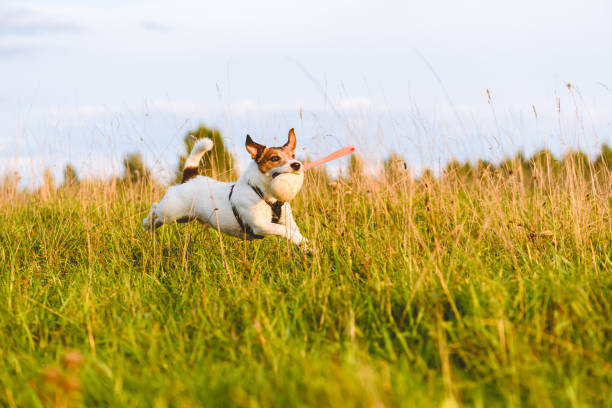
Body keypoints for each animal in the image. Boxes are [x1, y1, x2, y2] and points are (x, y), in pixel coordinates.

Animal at [141, 127, 308, 249]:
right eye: (275, 158)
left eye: (293, 155)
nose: (296, 164)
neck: (263, 193)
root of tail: (191, 177)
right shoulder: (259, 225)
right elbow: (283, 230)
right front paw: (298, 239)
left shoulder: (288, 222)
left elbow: (294, 231)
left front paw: (305, 246)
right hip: (170, 212)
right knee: (155, 208)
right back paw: (146, 223)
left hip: (184, 217)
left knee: (158, 219)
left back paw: (150, 227)